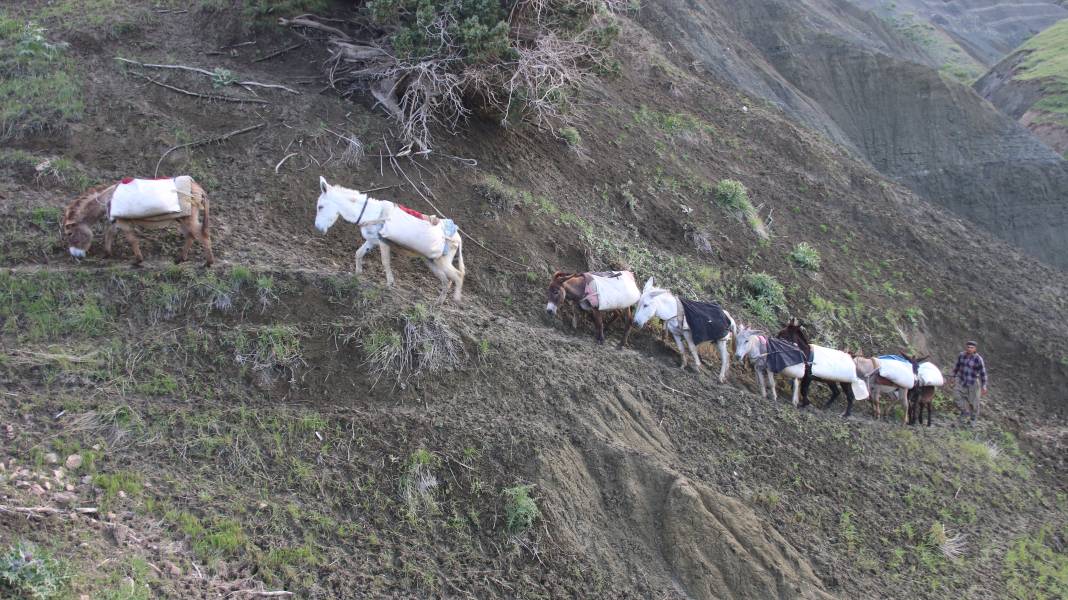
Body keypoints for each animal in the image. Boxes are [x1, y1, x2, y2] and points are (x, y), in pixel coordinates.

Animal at [311, 175, 463, 301]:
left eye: (320, 207)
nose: (317, 228)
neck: (369, 213)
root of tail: (457, 236)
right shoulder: (371, 241)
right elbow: (358, 253)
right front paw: (356, 275)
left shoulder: (383, 241)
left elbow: (385, 262)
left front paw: (389, 284)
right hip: (431, 261)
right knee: (447, 280)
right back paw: (438, 303)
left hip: (441, 261)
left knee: (458, 275)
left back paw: (456, 299)